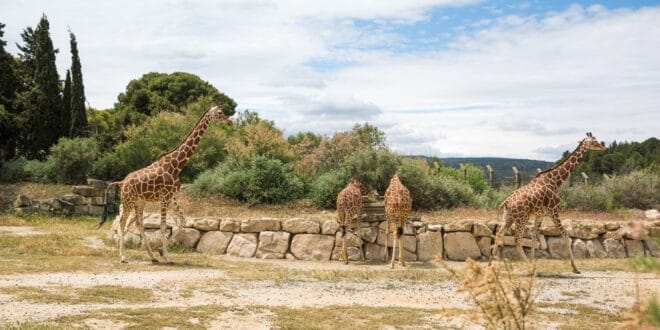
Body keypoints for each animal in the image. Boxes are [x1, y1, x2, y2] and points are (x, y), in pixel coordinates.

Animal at [96, 105, 232, 262]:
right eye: (220, 113)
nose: (230, 122)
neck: (176, 166)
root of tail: (122, 182)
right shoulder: (164, 197)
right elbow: (162, 226)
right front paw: (166, 257)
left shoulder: (172, 197)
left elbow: (183, 220)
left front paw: (161, 252)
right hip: (128, 201)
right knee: (122, 222)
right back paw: (123, 256)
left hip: (139, 202)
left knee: (138, 224)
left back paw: (152, 256)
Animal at [488, 132, 604, 274]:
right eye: (594, 141)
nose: (603, 147)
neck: (554, 182)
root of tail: (506, 202)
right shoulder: (554, 211)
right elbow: (566, 235)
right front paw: (575, 268)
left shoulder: (540, 215)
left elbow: (534, 238)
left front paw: (535, 263)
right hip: (522, 218)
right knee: (517, 240)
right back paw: (530, 269)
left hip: (509, 217)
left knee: (499, 234)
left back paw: (490, 265)